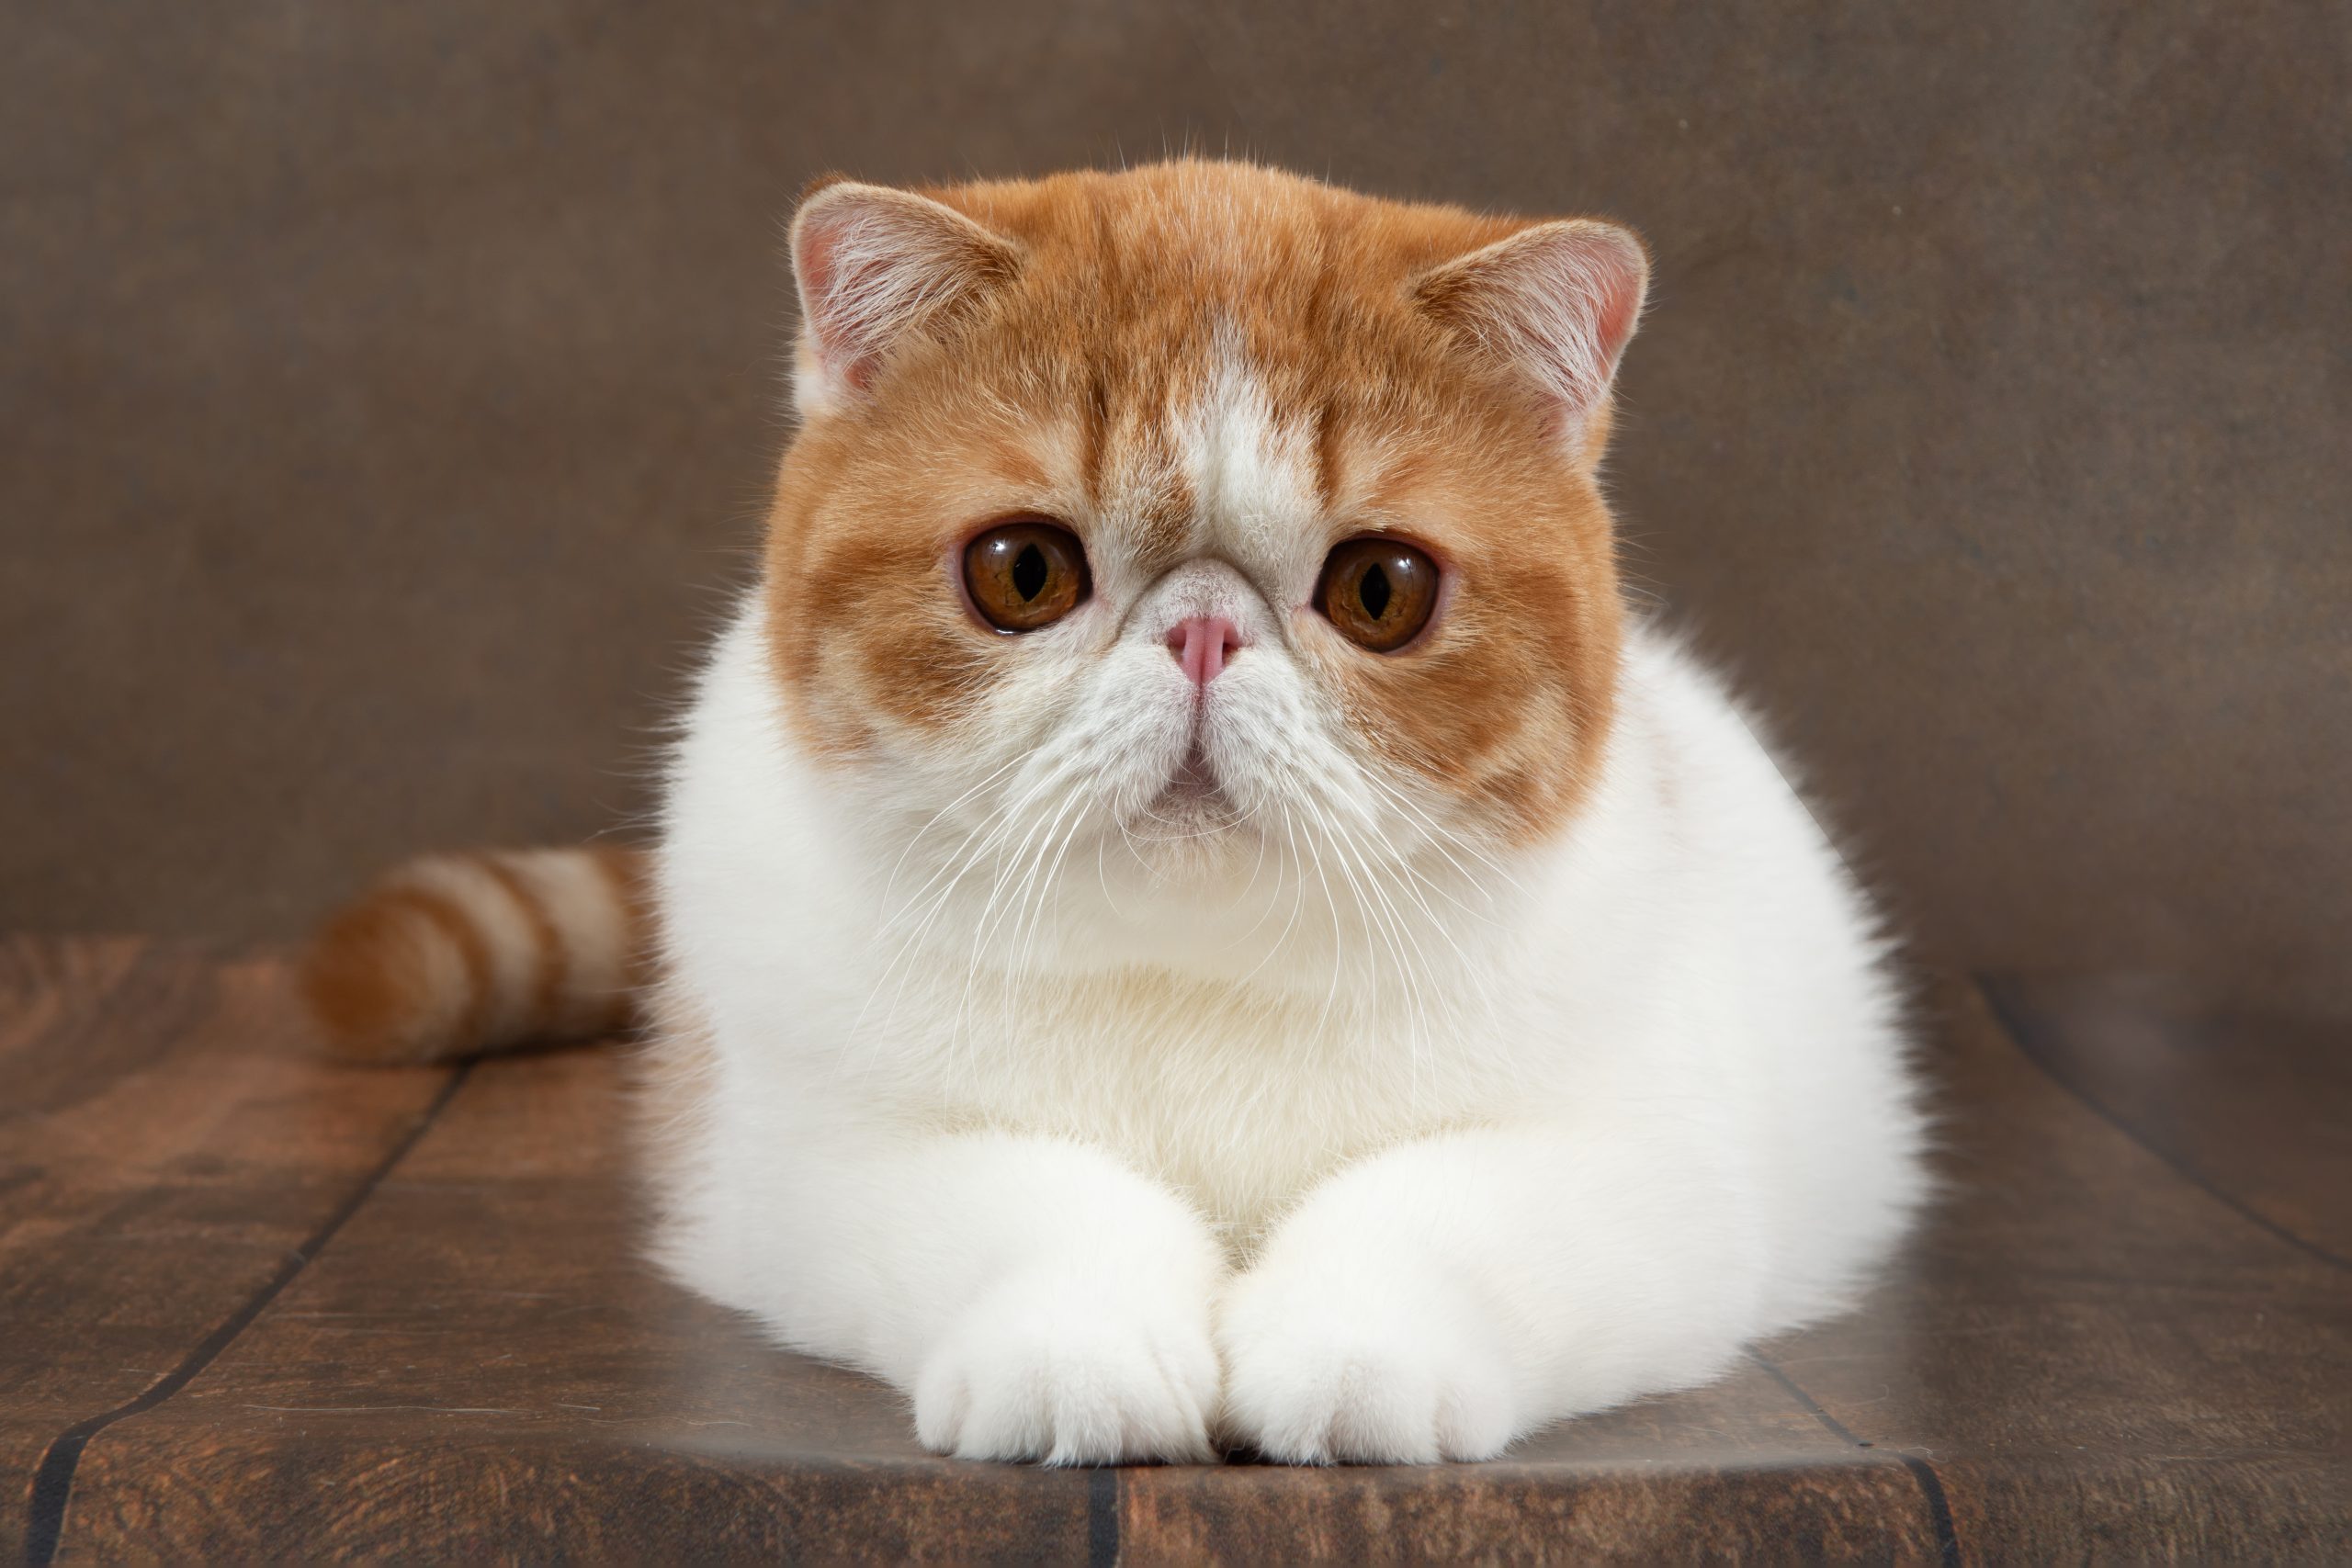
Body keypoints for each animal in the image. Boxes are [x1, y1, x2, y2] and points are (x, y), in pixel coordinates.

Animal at [308, 162, 1928, 1476]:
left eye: (1381, 590)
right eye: (1023, 571)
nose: (1204, 631)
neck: (1188, 978)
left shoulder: (1654, 1166)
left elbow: (1437, 1204)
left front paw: (1353, 1349)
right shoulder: (802, 1159)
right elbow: (1032, 1195)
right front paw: (1079, 1350)